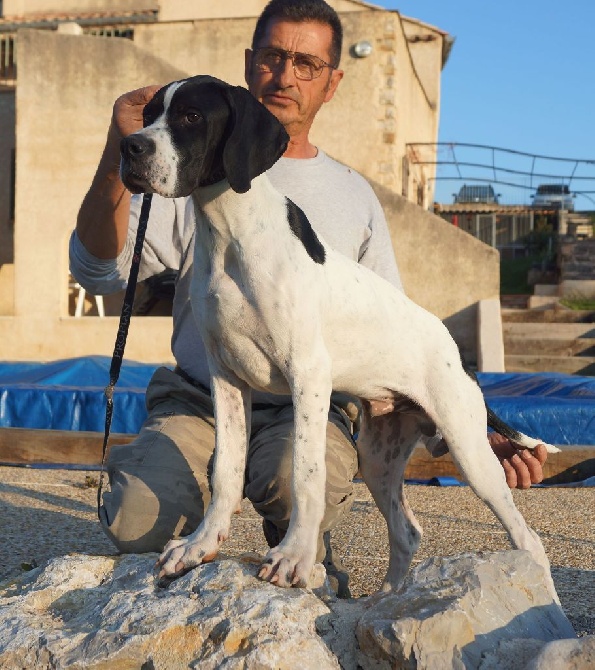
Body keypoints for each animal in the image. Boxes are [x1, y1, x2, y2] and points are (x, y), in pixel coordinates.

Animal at [120, 76, 560, 600]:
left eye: (191, 116)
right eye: (147, 114)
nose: (129, 147)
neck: (231, 234)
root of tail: (460, 356)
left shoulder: (307, 374)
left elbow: (304, 474)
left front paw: (293, 557)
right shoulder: (225, 378)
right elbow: (226, 470)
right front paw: (199, 545)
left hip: (469, 450)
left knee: (528, 538)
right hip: (377, 456)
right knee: (409, 531)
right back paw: (388, 598)